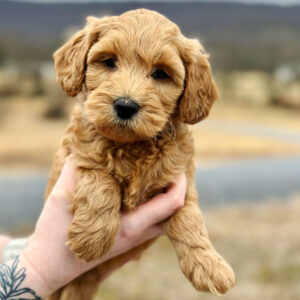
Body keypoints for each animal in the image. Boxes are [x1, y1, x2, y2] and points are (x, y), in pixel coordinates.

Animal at [45, 8, 236, 300]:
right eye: (109, 62)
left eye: (160, 73)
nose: (125, 106)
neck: (133, 146)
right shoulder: (78, 154)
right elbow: (101, 180)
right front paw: (92, 238)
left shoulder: (181, 180)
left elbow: (189, 217)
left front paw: (209, 265)